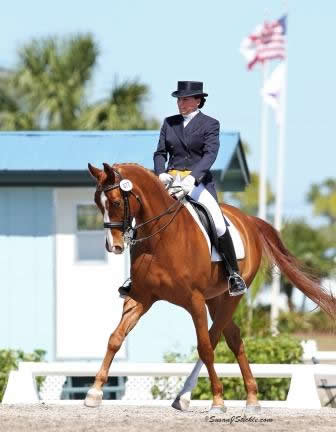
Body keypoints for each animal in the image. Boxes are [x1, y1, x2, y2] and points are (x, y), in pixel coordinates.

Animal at [84, 162, 336, 416]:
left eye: (116, 202)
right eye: (97, 202)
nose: (113, 246)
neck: (160, 238)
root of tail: (248, 219)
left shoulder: (194, 300)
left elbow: (205, 347)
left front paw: (217, 401)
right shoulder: (141, 298)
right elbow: (115, 338)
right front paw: (94, 393)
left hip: (232, 296)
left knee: (214, 338)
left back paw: (189, 396)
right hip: (214, 298)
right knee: (234, 337)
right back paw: (250, 398)